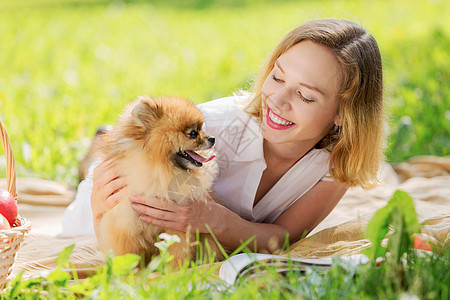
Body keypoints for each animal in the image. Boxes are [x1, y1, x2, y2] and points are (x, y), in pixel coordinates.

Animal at [96, 95, 223, 264]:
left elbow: (175, 256)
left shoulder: (178, 226)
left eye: (202, 128)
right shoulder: (125, 227)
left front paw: (174, 270)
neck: (160, 172)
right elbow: (129, 258)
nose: (212, 138)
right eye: (193, 133)